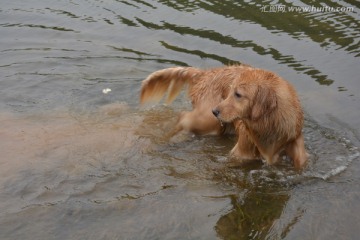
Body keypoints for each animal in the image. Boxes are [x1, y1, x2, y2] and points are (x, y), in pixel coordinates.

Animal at [139, 64, 308, 168]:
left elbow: (301, 159)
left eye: (238, 94)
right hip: (208, 121)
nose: (215, 111)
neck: (268, 123)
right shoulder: (243, 149)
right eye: (230, 91)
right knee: (183, 117)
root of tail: (205, 74)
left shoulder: (293, 136)